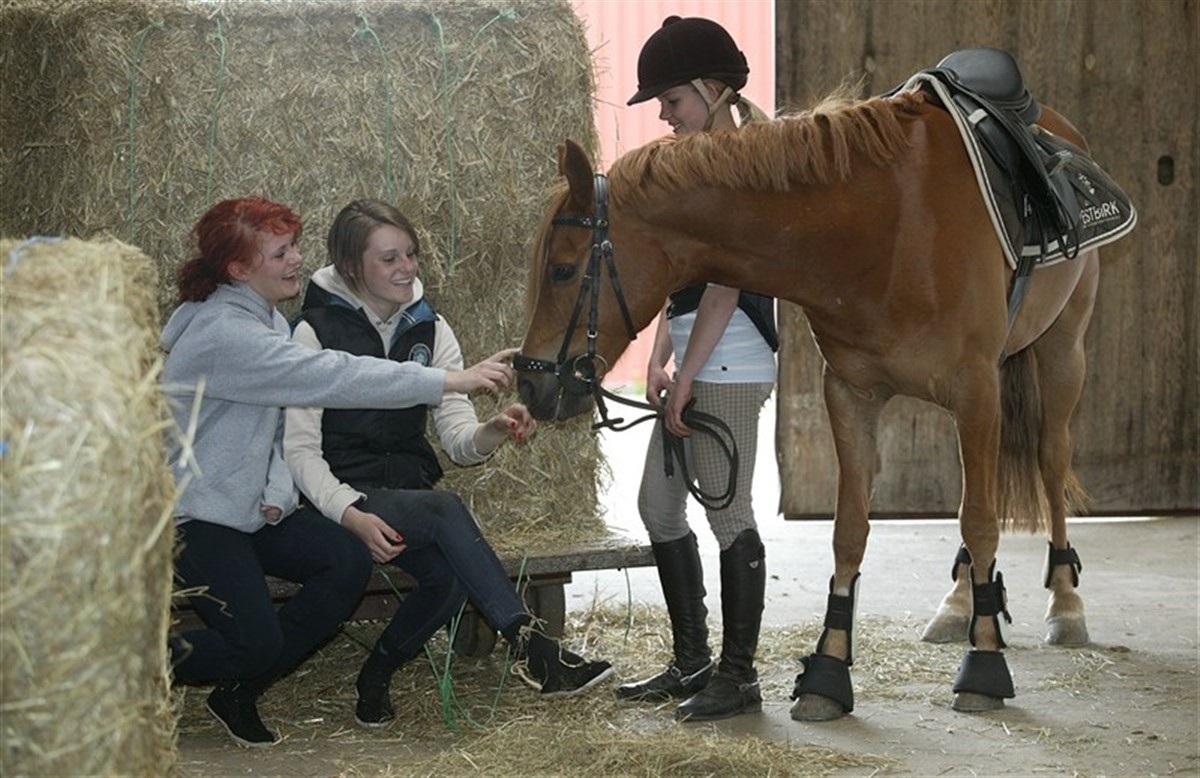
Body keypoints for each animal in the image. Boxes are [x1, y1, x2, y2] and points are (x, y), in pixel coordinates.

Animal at [515, 78, 1122, 720]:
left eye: (562, 270)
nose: (529, 383)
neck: (888, 228)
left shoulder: (976, 388)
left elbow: (981, 521)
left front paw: (983, 668)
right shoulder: (851, 394)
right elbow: (850, 530)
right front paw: (828, 672)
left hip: (1061, 354)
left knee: (1051, 462)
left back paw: (1065, 605)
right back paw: (960, 602)